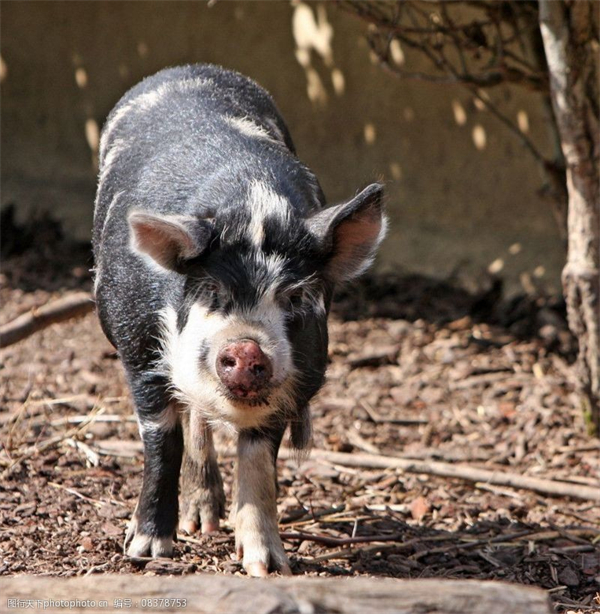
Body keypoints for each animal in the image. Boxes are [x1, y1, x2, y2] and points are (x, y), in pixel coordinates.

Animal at [91, 65, 386, 580]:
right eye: (212, 290)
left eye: (296, 295)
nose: (247, 349)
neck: (254, 209)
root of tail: (189, 69)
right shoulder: (140, 353)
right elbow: (162, 442)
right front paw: (146, 551)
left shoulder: (290, 388)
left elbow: (258, 464)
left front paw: (268, 567)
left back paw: (207, 522)